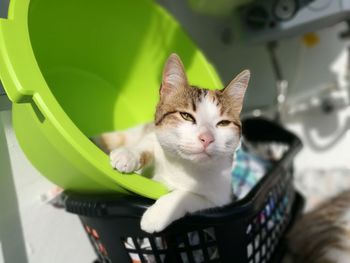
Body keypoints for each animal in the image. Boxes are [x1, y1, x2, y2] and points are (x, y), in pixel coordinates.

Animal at [93, 53, 249, 233]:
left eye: (223, 123)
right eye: (186, 116)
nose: (207, 138)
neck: (183, 166)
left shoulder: (220, 198)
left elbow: (187, 195)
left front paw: (158, 214)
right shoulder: (154, 136)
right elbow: (148, 143)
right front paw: (128, 155)